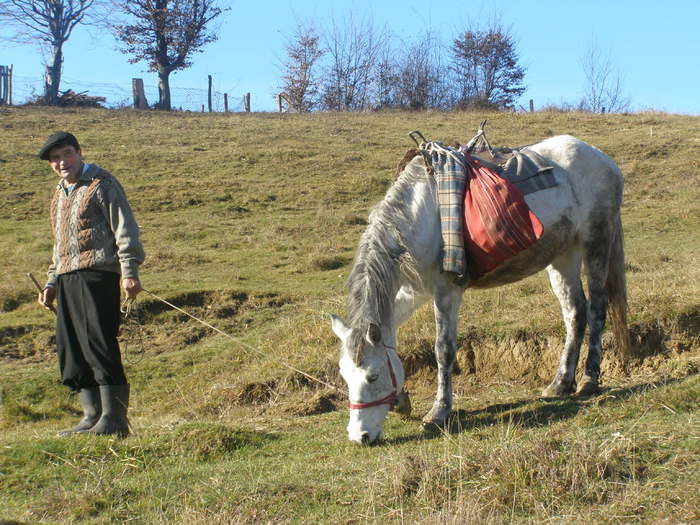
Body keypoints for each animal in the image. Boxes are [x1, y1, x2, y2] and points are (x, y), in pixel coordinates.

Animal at [330, 134, 632, 442]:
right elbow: (391, 335)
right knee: (575, 314)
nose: (359, 436)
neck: (418, 217)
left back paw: (589, 379)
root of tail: (602, 158)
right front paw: (402, 401)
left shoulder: (446, 292)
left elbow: (443, 350)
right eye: (345, 376)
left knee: (596, 309)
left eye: (373, 376)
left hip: (596, 242)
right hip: (563, 255)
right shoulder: (412, 291)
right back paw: (561, 383)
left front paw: (439, 411)